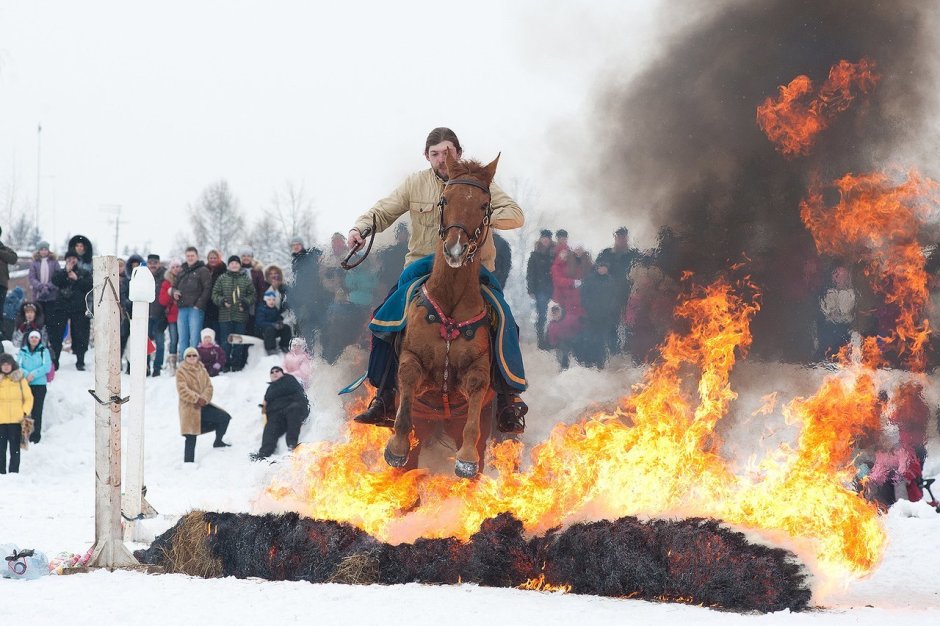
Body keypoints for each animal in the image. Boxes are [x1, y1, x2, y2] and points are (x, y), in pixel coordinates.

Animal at [382, 151, 500, 478]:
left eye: (484, 205)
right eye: (444, 199)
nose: (456, 249)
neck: (450, 309)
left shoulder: (477, 373)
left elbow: (476, 393)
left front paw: (466, 458)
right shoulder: (412, 362)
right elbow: (408, 378)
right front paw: (396, 447)